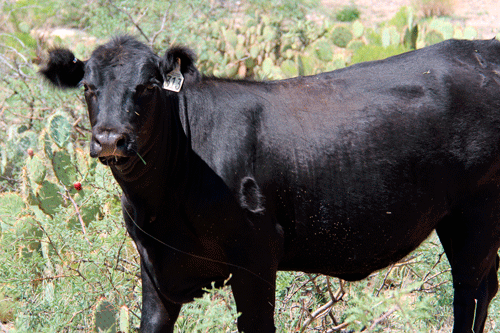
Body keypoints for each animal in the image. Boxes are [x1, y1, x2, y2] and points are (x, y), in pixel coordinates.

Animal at [41, 35, 500, 330]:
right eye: (88, 87)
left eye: (148, 86)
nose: (110, 139)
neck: (162, 203)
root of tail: (481, 49)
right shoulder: (155, 268)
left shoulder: (256, 255)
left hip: (477, 211)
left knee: (471, 290)